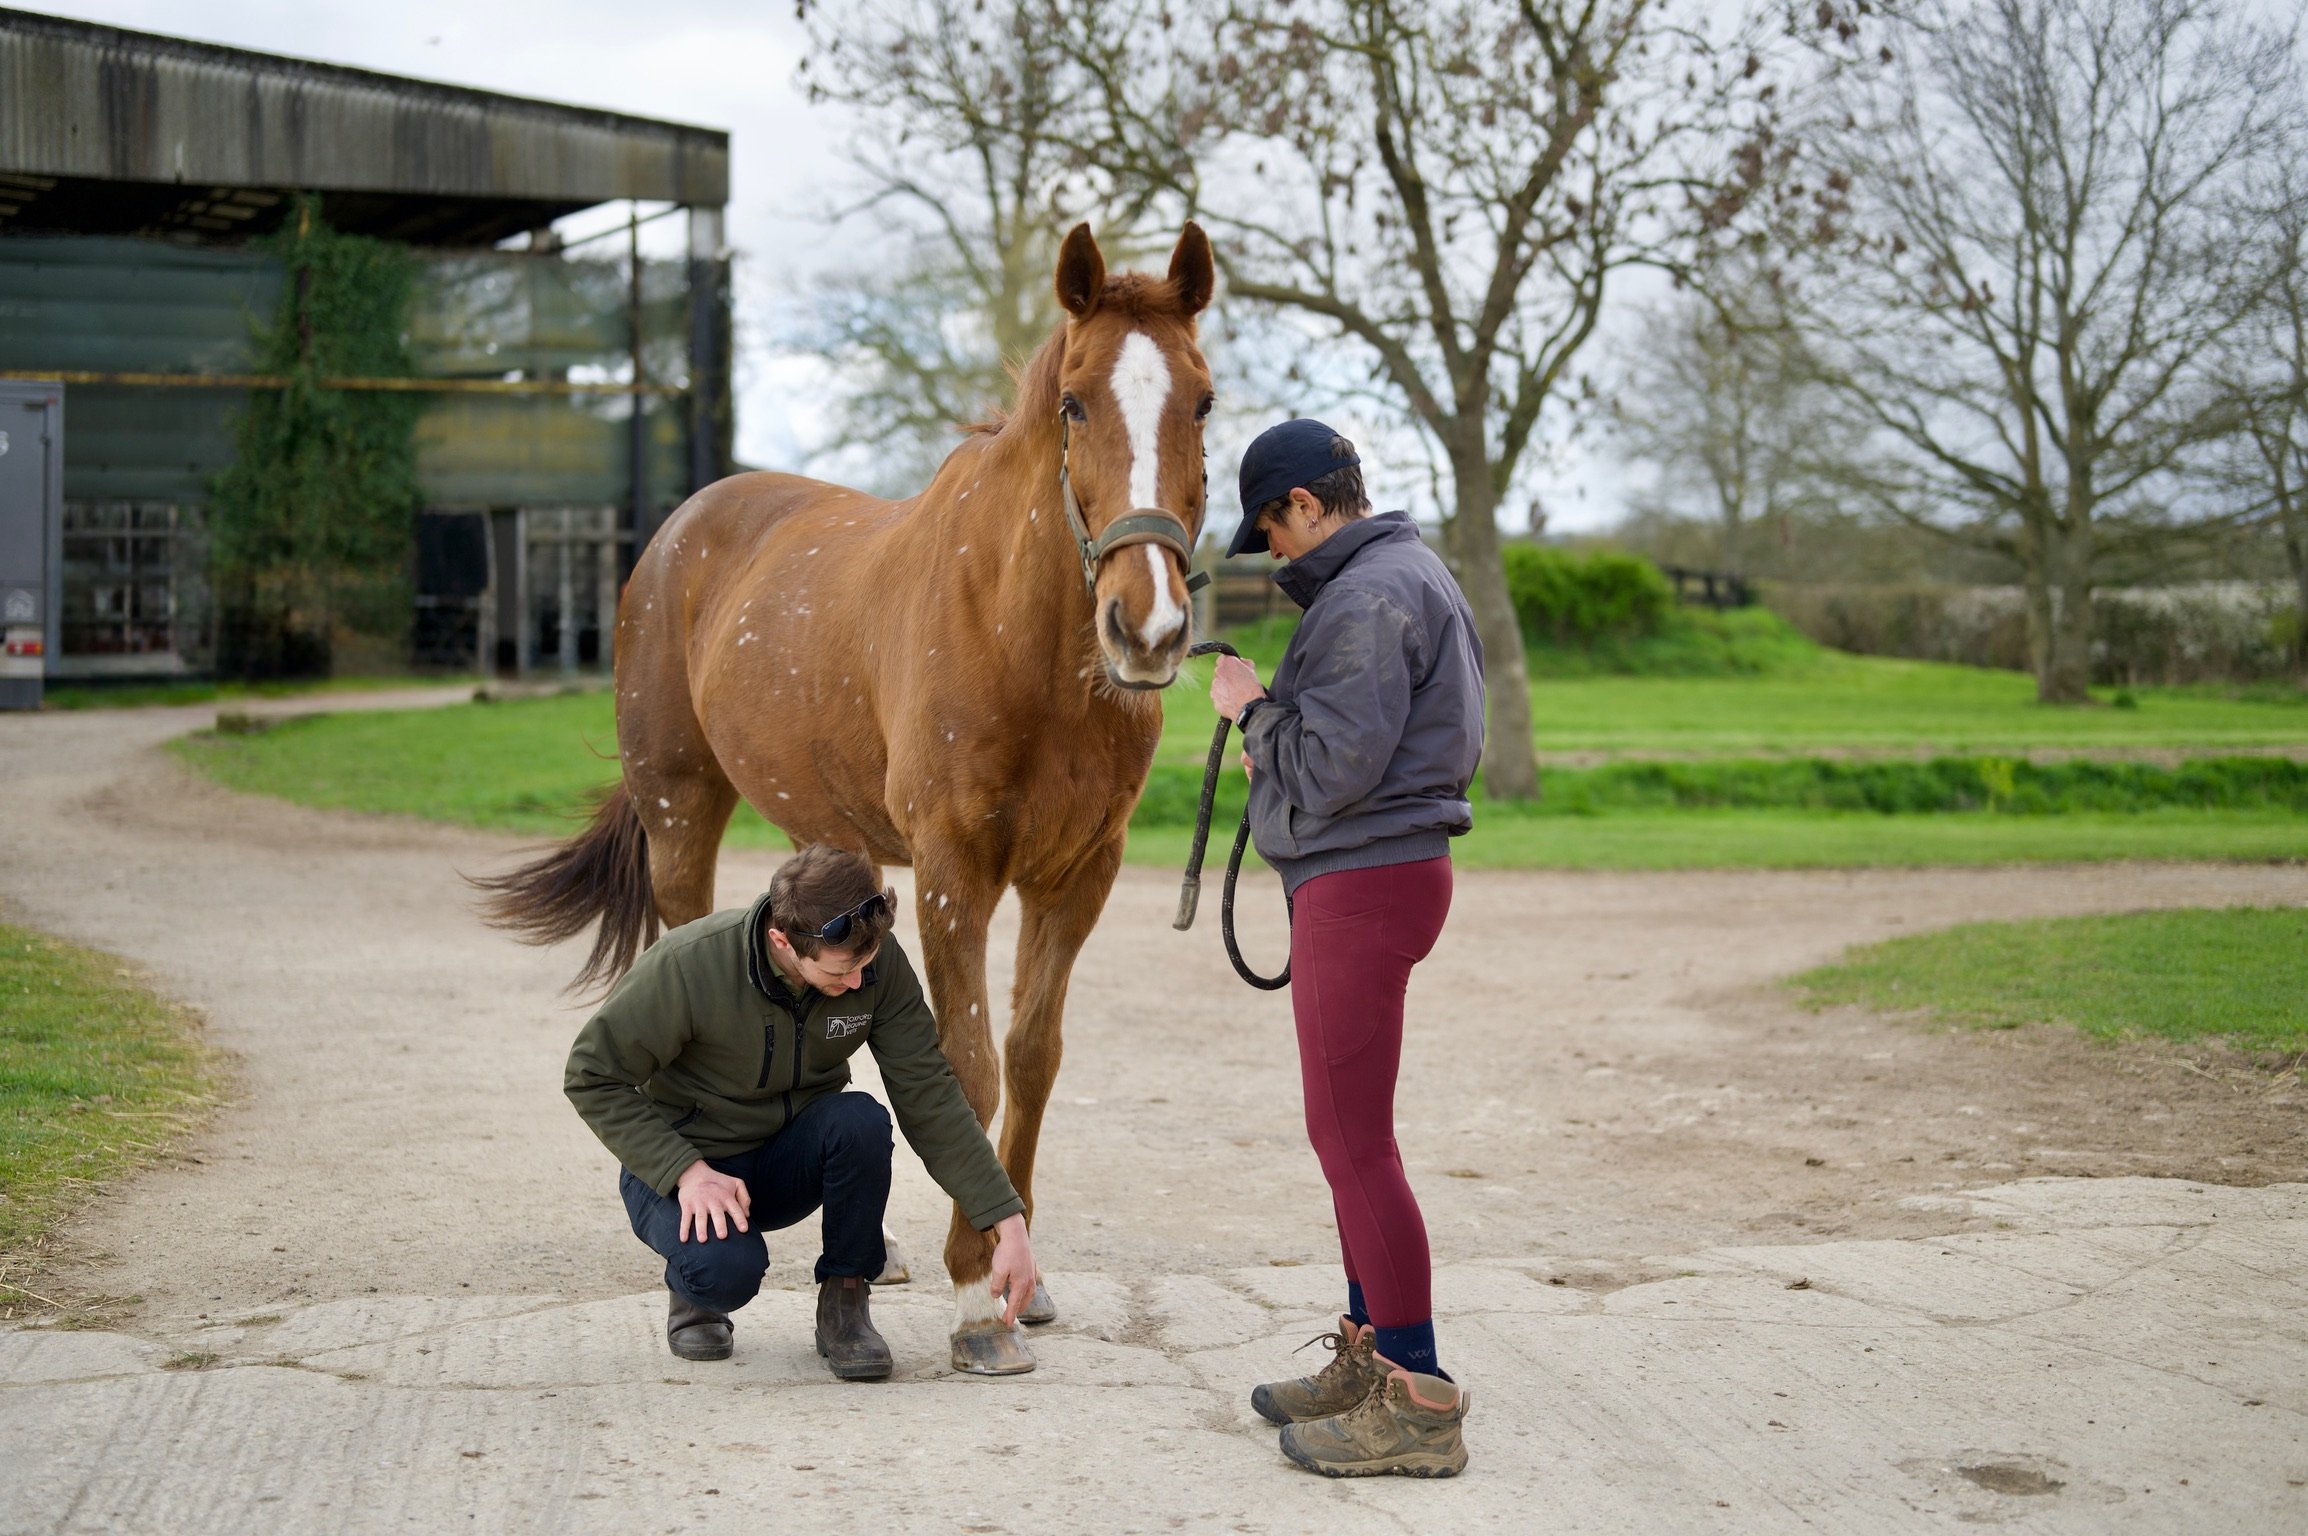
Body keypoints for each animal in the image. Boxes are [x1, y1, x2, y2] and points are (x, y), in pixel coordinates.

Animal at [480, 222, 1216, 1374]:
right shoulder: (958, 869)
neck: (1020, 635)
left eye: (1204, 402)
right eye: (1075, 404)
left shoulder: (1077, 875)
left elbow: (1032, 1060)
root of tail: (676, 535)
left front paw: (1022, 1273)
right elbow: (967, 1065)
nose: (1148, 629)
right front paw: (976, 1294)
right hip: (681, 812)